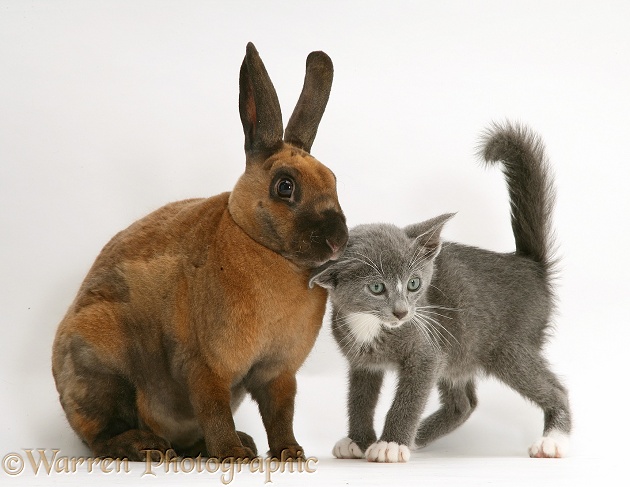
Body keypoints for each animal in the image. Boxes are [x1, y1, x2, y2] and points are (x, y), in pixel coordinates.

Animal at [52, 42, 350, 462]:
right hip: (100, 363)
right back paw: (147, 446)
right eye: (285, 186)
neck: (263, 247)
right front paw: (233, 456)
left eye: (334, 180)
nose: (338, 238)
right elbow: (214, 409)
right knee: (103, 435)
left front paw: (290, 454)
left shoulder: (278, 373)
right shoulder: (206, 366)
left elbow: (280, 413)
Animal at [312, 123, 572, 466]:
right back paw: (420, 436)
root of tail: (529, 263)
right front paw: (358, 441)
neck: (369, 325)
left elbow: (409, 398)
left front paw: (390, 443)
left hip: (508, 347)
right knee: (464, 403)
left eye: (414, 284)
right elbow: (360, 398)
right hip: (460, 349)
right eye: (377, 288)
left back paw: (553, 440)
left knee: (555, 389)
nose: (401, 312)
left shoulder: (427, 352)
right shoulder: (363, 361)